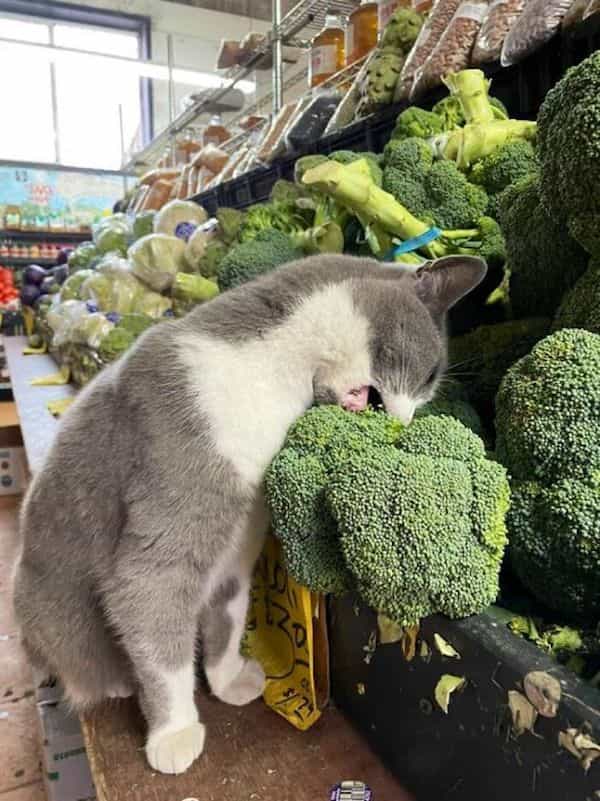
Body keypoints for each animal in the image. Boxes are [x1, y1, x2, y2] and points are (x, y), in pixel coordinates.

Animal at [13, 253, 485, 775]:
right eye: (430, 374)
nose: (406, 423)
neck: (275, 379)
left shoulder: (238, 552)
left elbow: (229, 619)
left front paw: (227, 681)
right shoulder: (158, 554)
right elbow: (161, 643)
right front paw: (174, 734)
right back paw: (113, 681)